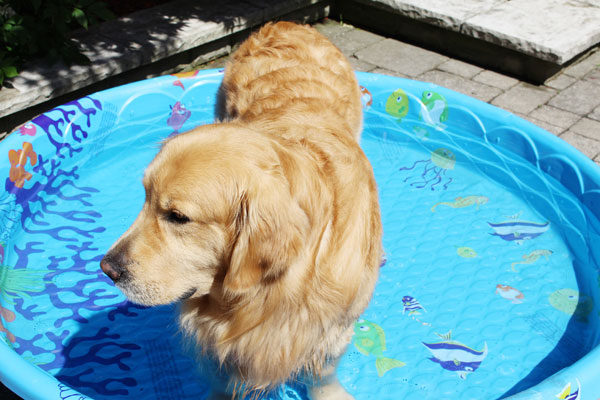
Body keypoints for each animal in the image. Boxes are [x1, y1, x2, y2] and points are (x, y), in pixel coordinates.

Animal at [98, 21, 380, 396]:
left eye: (178, 217)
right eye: (144, 197)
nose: (107, 268)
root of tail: (288, 24)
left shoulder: (332, 330)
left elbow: (322, 372)